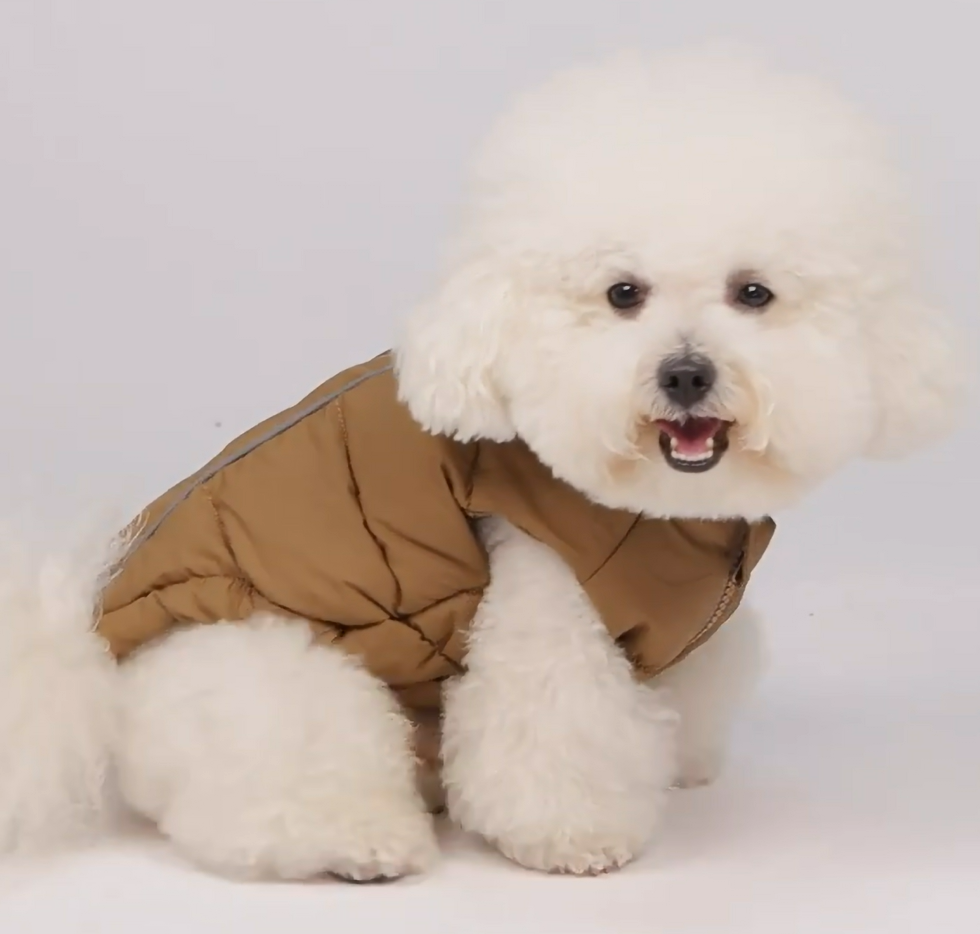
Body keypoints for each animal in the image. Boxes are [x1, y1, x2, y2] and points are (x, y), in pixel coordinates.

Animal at [0, 46, 962, 880]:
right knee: (266, 783)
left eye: (753, 293)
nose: (685, 373)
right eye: (623, 293)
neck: (653, 511)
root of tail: (88, 668)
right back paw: (363, 842)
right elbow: (549, 727)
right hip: (268, 670)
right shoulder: (543, 592)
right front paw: (575, 837)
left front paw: (680, 762)